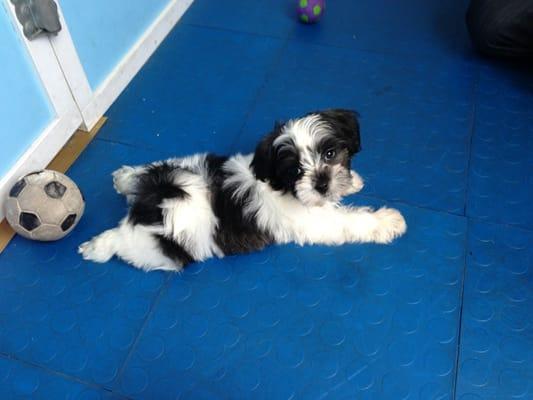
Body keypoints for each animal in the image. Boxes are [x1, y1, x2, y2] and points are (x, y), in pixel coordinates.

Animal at [79, 109, 406, 272]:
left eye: (330, 154)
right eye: (296, 171)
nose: (322, 183)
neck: (278, 184)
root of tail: (158, 199)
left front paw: (352, 182)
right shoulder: (315, 221)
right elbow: (351, 220)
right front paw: (388, 221)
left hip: (175, 167)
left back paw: (126, 178)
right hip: (155, 250)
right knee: (122, 243)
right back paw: (98, 247)